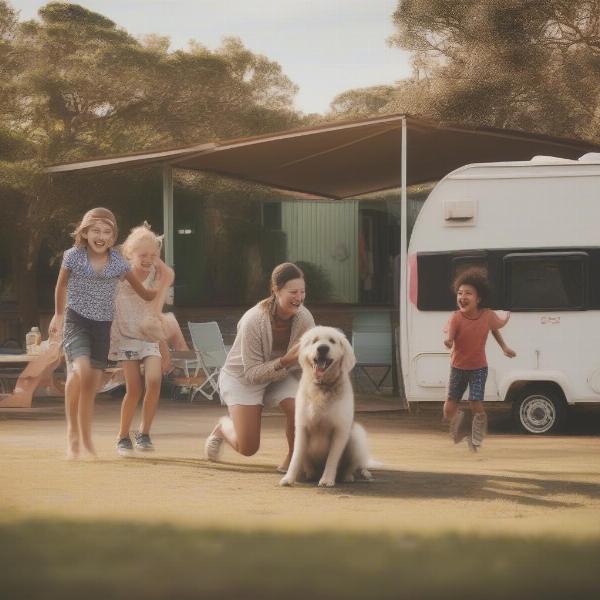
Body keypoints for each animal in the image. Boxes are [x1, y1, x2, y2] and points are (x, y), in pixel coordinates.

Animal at [280, 326, 372, 486]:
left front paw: (327, 479)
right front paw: (288, 478)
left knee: (354, 466)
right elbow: (296, 456)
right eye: (314, 341)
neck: (322, 385)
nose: (322, 348)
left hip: (356, 436)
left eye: (332, 341)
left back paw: (349, 476)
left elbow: (332, 458)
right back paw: (310, 474)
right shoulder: (302, 427)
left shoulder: (340, 429)